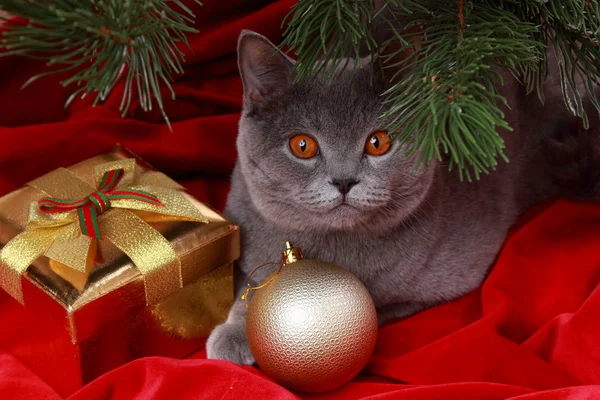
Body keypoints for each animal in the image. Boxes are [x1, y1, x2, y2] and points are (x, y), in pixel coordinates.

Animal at [205, 29, 596, 364]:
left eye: (378, 142)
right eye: (303, 145)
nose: (344, 180)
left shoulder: (440, 284)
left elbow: (376, 304)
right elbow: (248, 281)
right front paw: (236, 330)